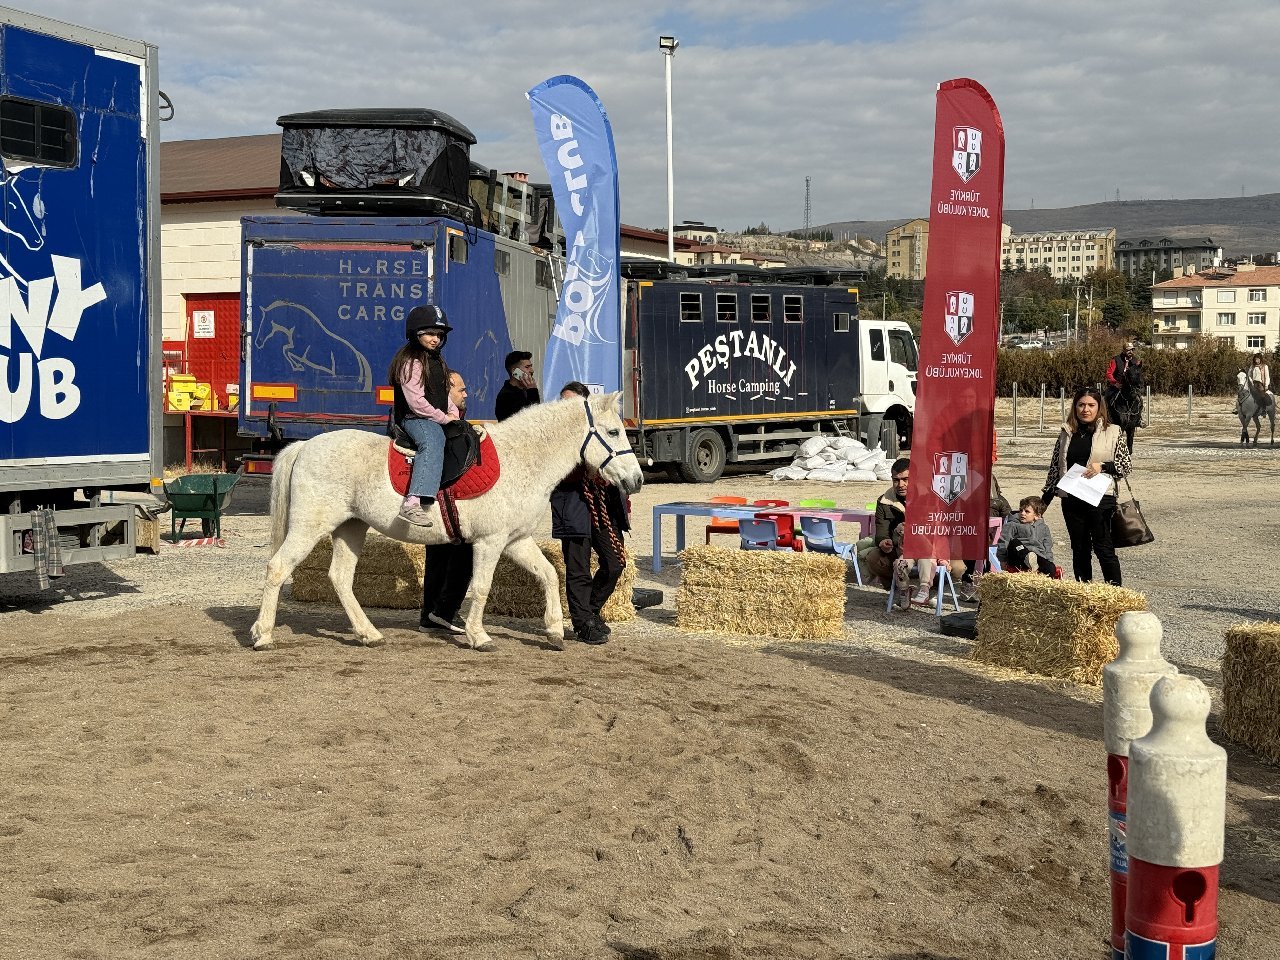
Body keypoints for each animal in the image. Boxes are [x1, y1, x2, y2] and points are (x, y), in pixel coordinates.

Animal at [250, 391, 645, 655]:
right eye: (613, 432)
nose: (638, 479)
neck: (521, 458)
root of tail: (304, 446)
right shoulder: (490, 542)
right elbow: (482, 588)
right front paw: (478, 636)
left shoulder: (515, 540)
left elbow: (548, 574)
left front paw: (553, 632)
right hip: (309, 527)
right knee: (277, 568)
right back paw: (264, 635)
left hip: (351, 528)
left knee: (340, 578)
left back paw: (368, 634)